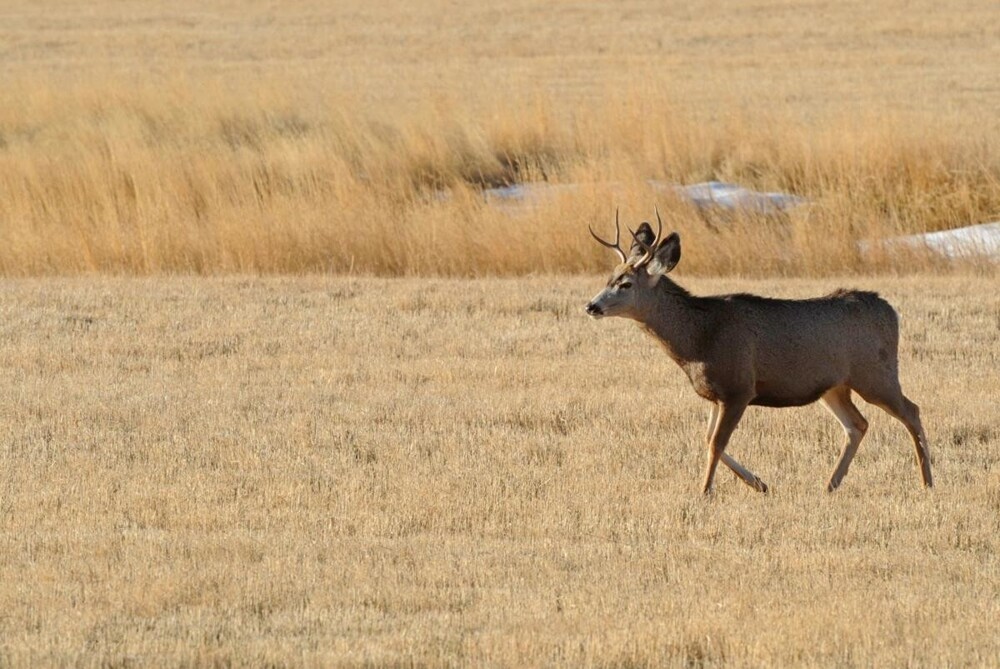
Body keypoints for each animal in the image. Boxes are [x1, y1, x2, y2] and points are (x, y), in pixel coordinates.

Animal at [584, 209, 932, 496]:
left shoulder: (739, 387)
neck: (699, 339)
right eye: (608, 278)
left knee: (911, 411)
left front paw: (704, 492)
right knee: (857, 424)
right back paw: (830, 485)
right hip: (835, 386)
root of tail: (890, 310)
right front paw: (760, 484)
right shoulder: (717, 395)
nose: (591, 306)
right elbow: (708, 439)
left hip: (874, 373)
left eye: (626, 284)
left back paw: (927, 481)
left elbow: (716, 443)